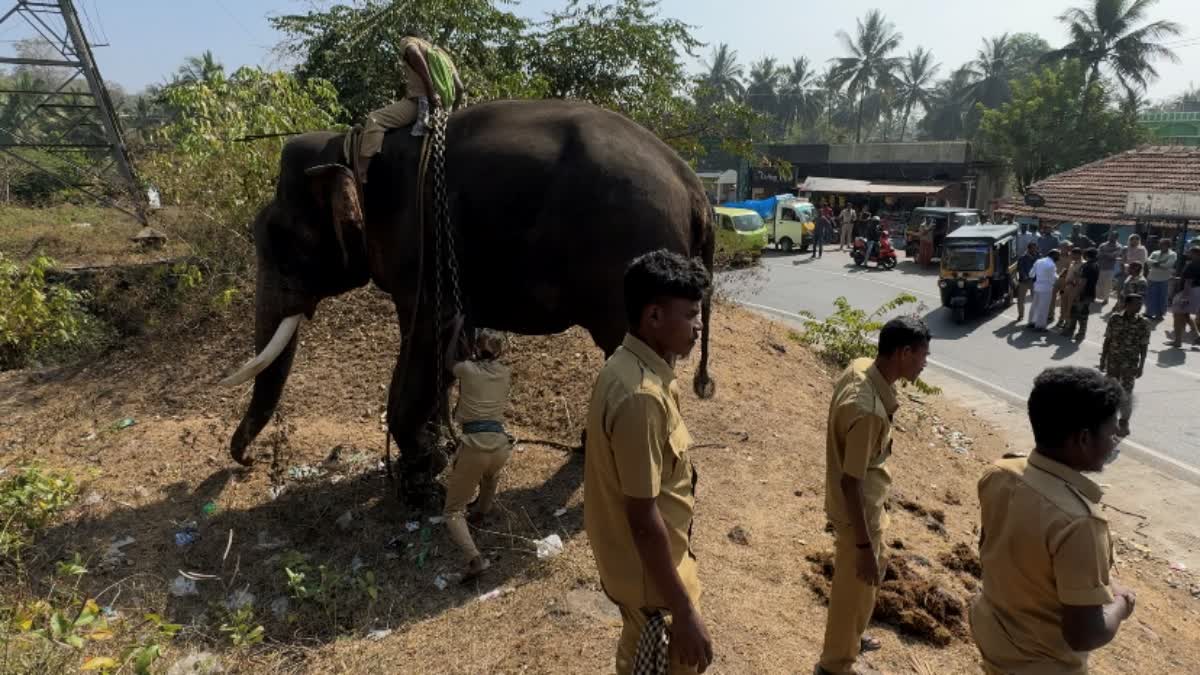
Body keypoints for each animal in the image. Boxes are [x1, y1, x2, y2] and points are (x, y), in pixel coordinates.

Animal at [219, 99, 710, 504]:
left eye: (283, 241)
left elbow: (427, 339)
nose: (248, 463)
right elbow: (445, 346)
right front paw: (437, 452)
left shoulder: (420, 247)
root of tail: (693, 185)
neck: (350, 144)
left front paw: (421, 481)